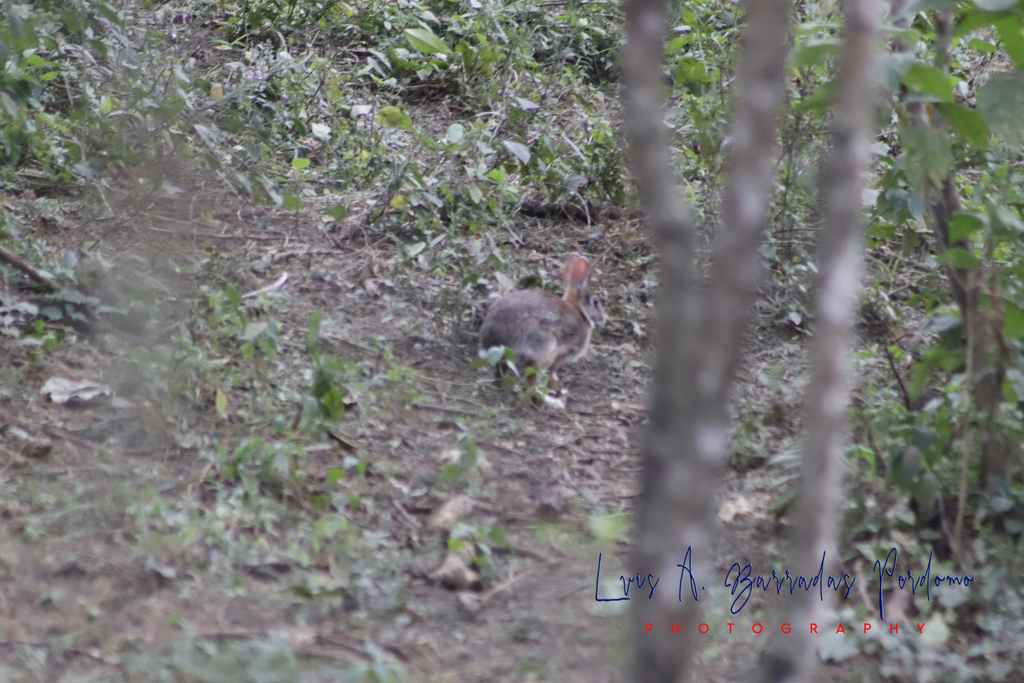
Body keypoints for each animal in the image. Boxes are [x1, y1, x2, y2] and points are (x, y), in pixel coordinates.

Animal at [477, 254, 602, 405]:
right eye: (596, 301)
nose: (604, 318)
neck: (579, 311)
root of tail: (495, 343)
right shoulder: (561, 354)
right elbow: (553, 371)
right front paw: (557, 383)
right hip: (542, 348)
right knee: (532, 384)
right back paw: (548, 400)